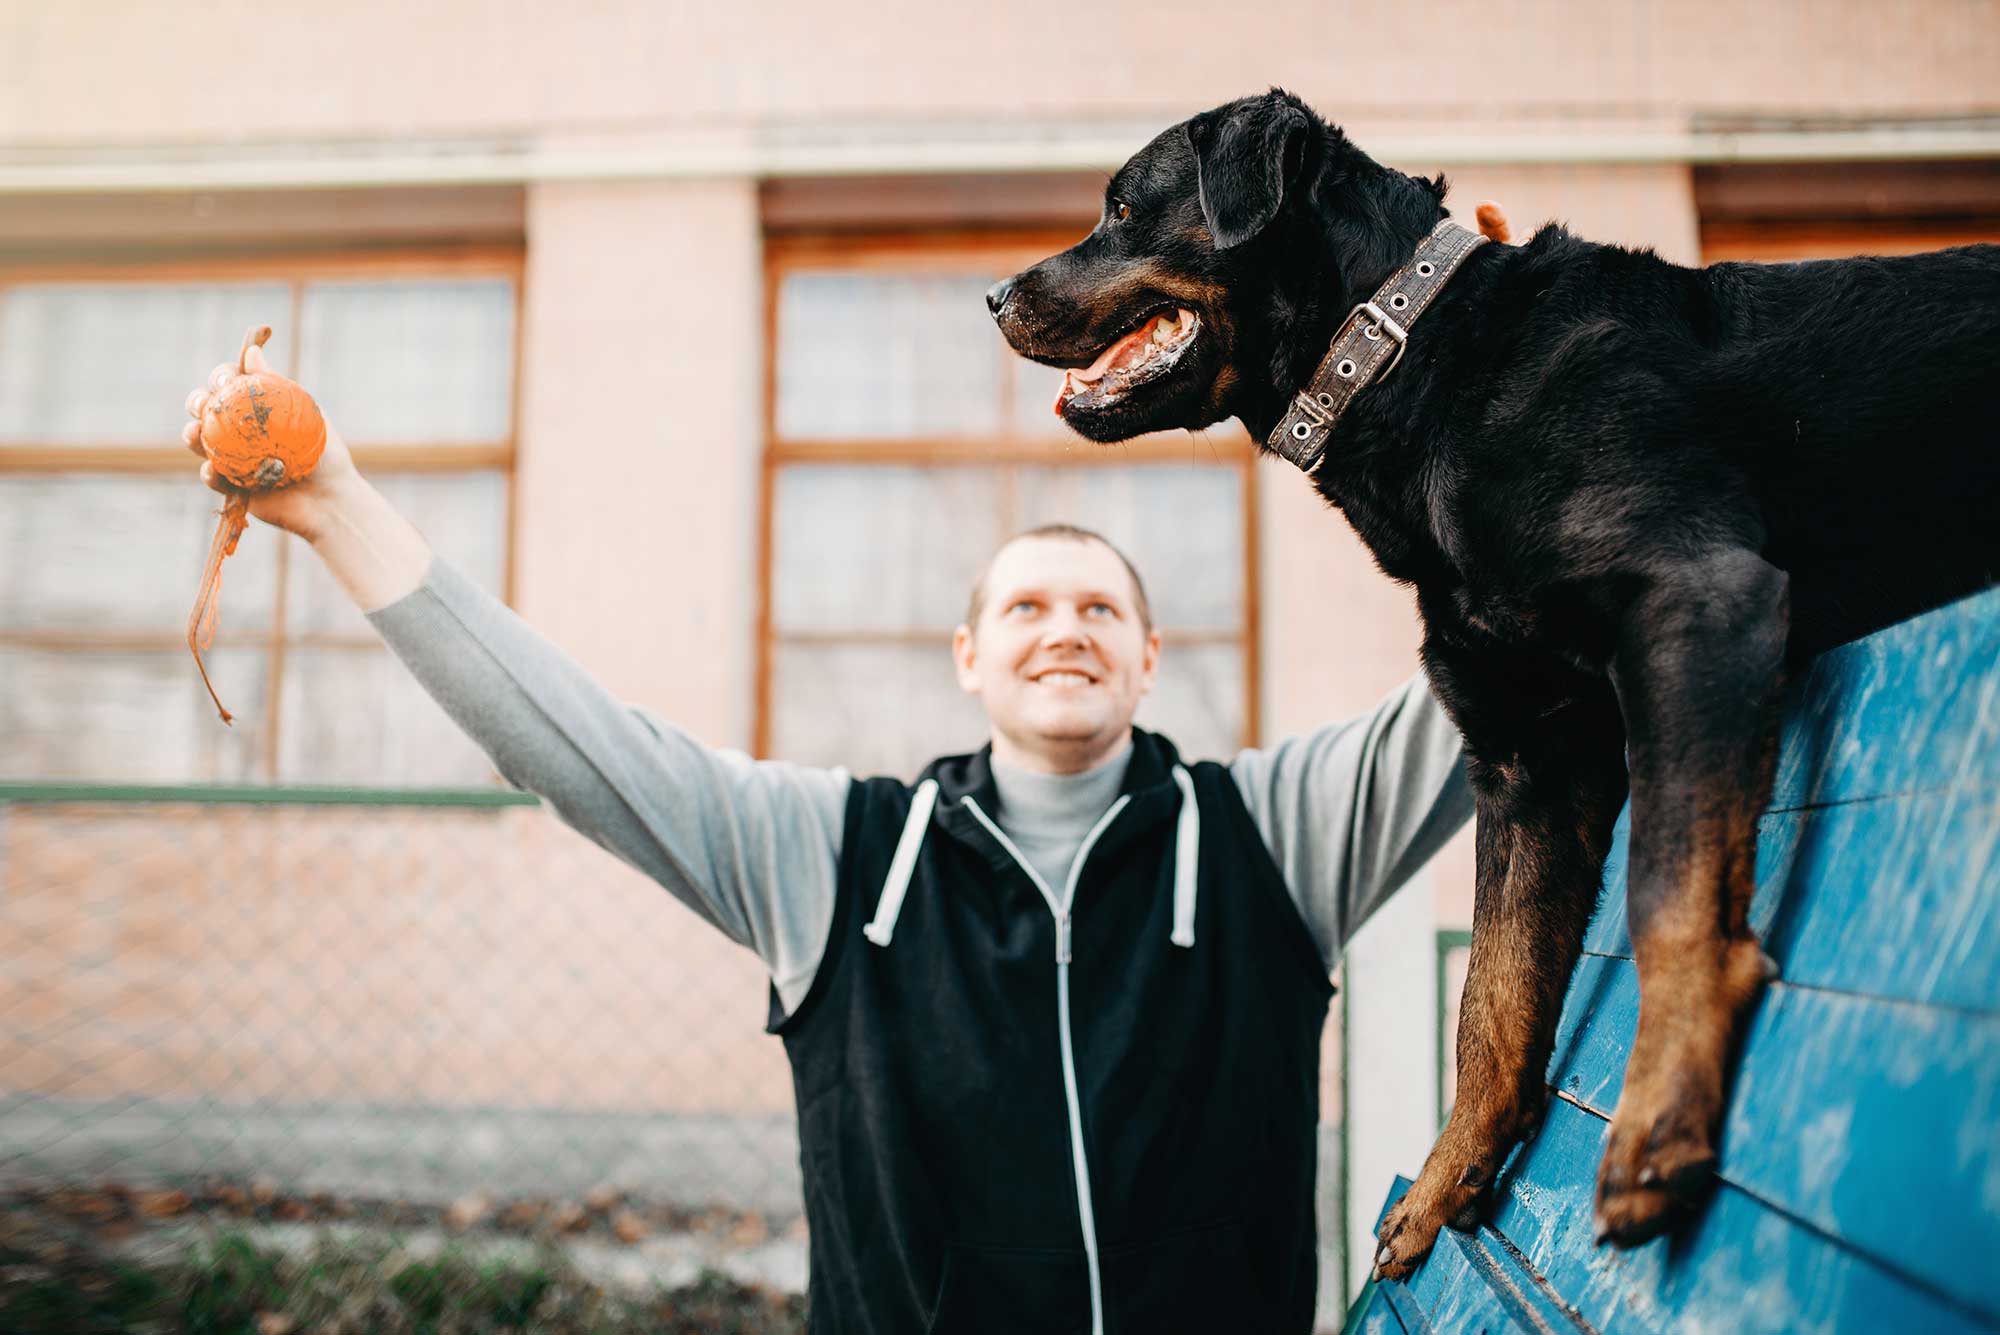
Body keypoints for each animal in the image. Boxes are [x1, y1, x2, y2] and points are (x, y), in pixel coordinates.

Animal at [984, 88, 2000, 1279]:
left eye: (1121, 207)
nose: (992, 295)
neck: (1409, 361)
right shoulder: (1525, 756)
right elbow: (1491, 995)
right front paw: (1445, 1179)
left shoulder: (1695, 600)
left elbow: (1666, 890)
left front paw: (1659, 1119)